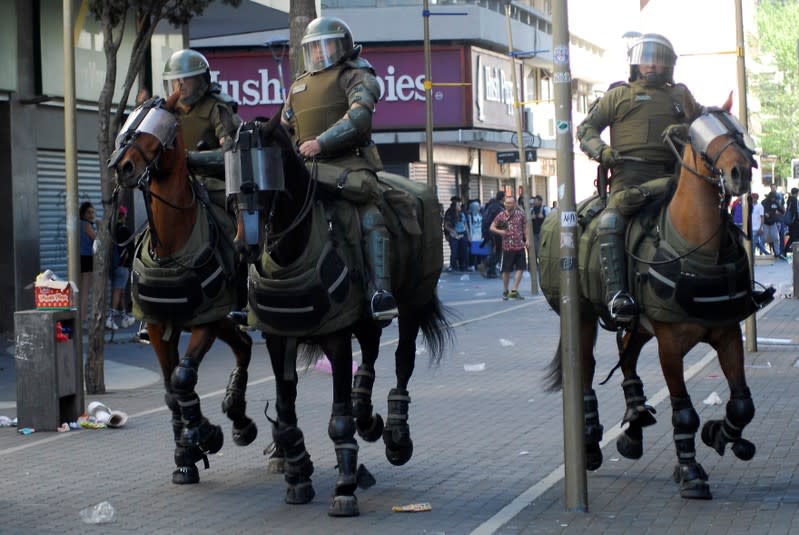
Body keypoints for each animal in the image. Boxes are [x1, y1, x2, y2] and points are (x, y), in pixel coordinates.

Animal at [108, 92, 256, 486]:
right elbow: (170, 390)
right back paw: (236, 419)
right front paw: (187, 454)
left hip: (222, 316)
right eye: (128, 123)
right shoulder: (159, 325)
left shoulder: (205, 320)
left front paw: (204, 434)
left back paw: (238, 421)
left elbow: (183, 377)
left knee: (243, 345)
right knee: (243, 345)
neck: (172, 246)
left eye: (153, 129)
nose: (122, 167)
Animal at [227, 114, 450, 520]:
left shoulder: (335, 337)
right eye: (233, 175)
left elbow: (339, 417)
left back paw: (396, 435)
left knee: (402, 360)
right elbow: (285, 412)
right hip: (364, 321)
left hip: (412, 301)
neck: (295, 248)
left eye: (265, 179)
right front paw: (298, 479)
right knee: (371, 356)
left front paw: (345, 489)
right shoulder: (277, 336)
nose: (244, 245)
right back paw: (369, 417)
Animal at [540, 98, 772, 500]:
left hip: (641, 325)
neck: (697, 245)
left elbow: (742, 403)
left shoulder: (727, 333)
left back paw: (634, 424)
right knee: (585, 371)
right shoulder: (670, 344)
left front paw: (722, 435)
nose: (740, 172)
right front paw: (691, 472)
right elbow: (684, 412)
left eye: (737, 129)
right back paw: (591, 442)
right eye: (701, 137)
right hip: (583, 316)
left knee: (627, 356)